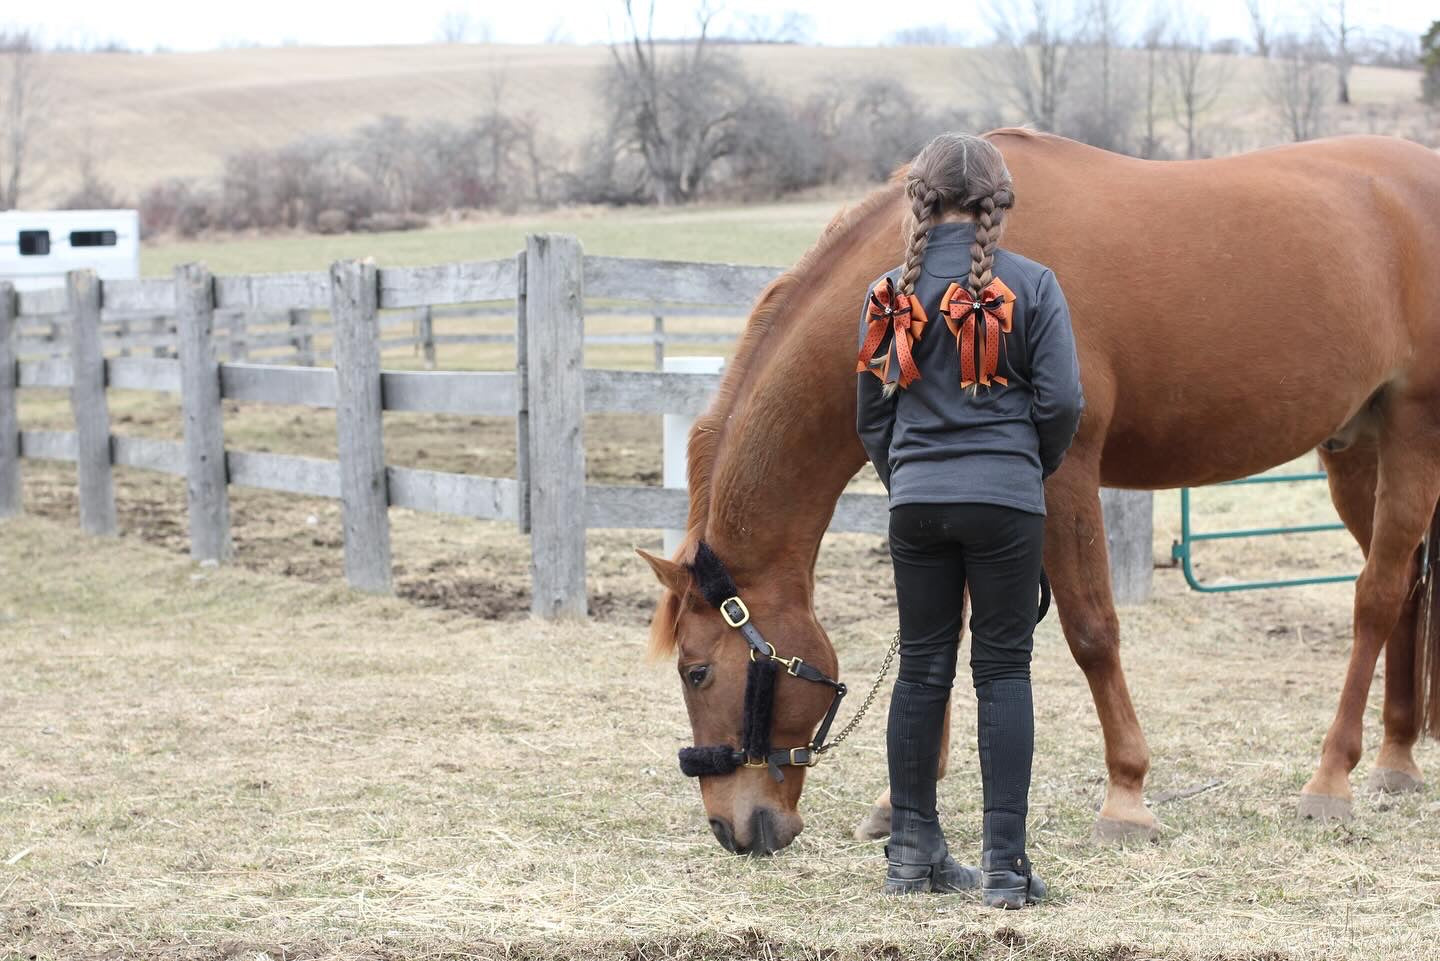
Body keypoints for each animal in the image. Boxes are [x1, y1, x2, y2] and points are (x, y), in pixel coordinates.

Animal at [642, 129, 1440, 858]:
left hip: (1411, 429)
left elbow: (1092, 631)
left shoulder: (1065, 477)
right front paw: (899, 802)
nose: (733, 828)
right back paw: (1397, 758)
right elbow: (943, 636)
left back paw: (1331, 779)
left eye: (697, 670)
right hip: (1355, 450)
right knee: (1407, 589)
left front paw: (1127, 796)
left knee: (1375, 597)